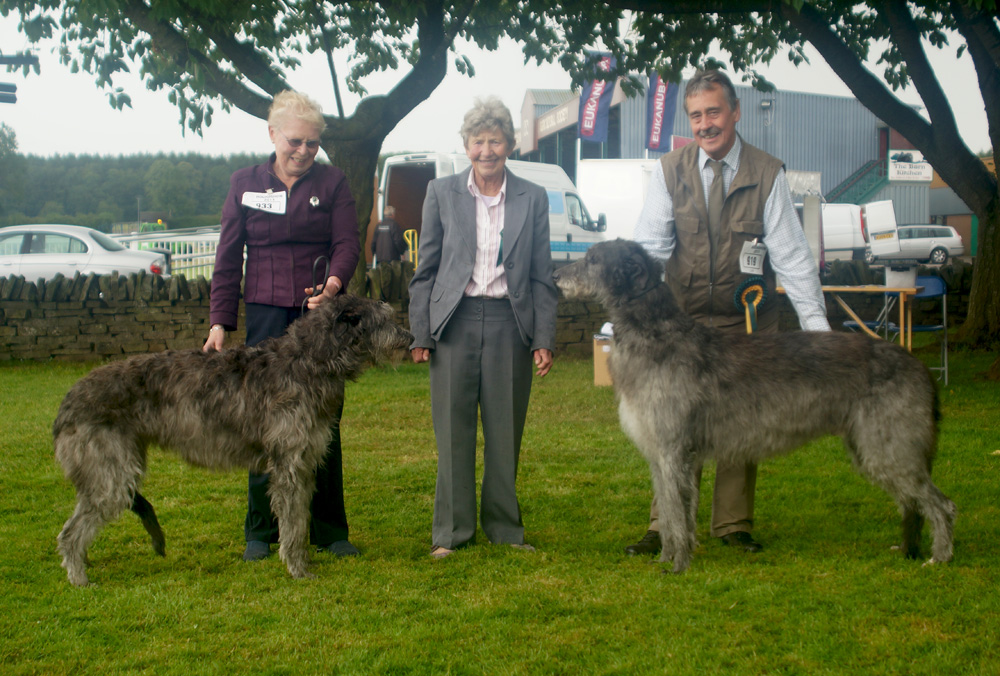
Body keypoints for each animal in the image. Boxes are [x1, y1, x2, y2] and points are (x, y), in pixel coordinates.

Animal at [53, 296, 414, 588]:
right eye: (384, 319)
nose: (411, 339)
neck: (309, 360)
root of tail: (66, 404)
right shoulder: (288, 463)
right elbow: (292, 522)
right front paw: (298, 570)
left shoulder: (303, 462)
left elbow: (299, 518)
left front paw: (301, 561)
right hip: (110, 473)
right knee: (70, 532)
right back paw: (79, 577)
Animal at [556, 240, 952, 572]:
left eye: (592, 259)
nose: (556, 276)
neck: (656, 334)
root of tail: (918, 366)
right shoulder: (663, 456)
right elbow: (669, 513)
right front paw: (666, 556)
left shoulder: (673, 451)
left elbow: (677, 513)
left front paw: (677, 566)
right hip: (874, 447)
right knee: (913, 503)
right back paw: (908, 549)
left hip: (889, 446)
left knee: (941, 503)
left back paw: (939, 557)